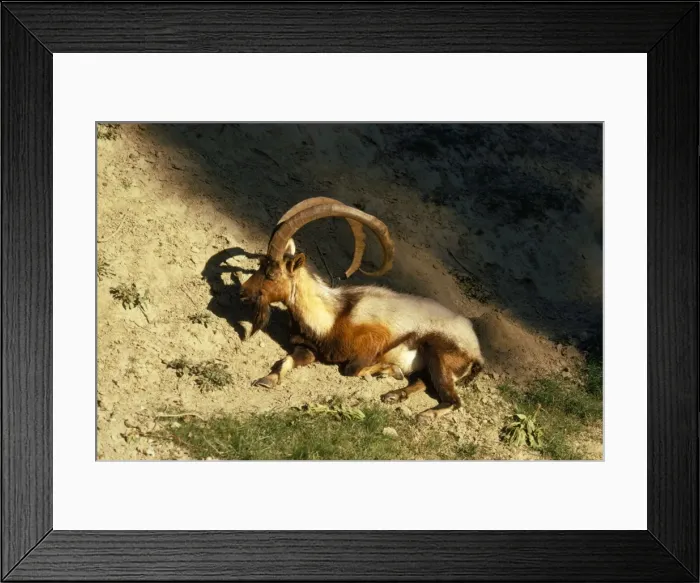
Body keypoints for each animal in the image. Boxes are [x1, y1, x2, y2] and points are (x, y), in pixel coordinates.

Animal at [239, 197, 484, 422]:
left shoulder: (371, 343)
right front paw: (266, 380)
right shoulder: (309, 348)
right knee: (424, 382)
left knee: (453, 400)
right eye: (261, 265)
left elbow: (350, 370)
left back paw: (425, 414)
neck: (333, 317)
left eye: (271, 274)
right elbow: (287, 359)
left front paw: (390, 370)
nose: (243, 292)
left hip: (439, 354)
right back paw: (394, 395)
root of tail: (476, 351)